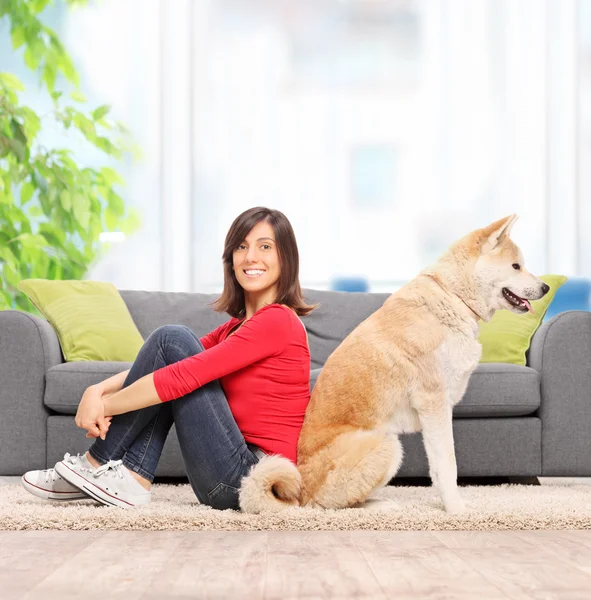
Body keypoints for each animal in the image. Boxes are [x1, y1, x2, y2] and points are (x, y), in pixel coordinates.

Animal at [239, 213, 552, 512]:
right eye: (516, 266)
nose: (546, 287)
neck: (452, 296)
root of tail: (300, 487)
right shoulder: (434, 403)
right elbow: (447, 464)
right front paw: (456, 509)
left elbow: (440, 466)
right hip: (386, 444)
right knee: (324, 505)